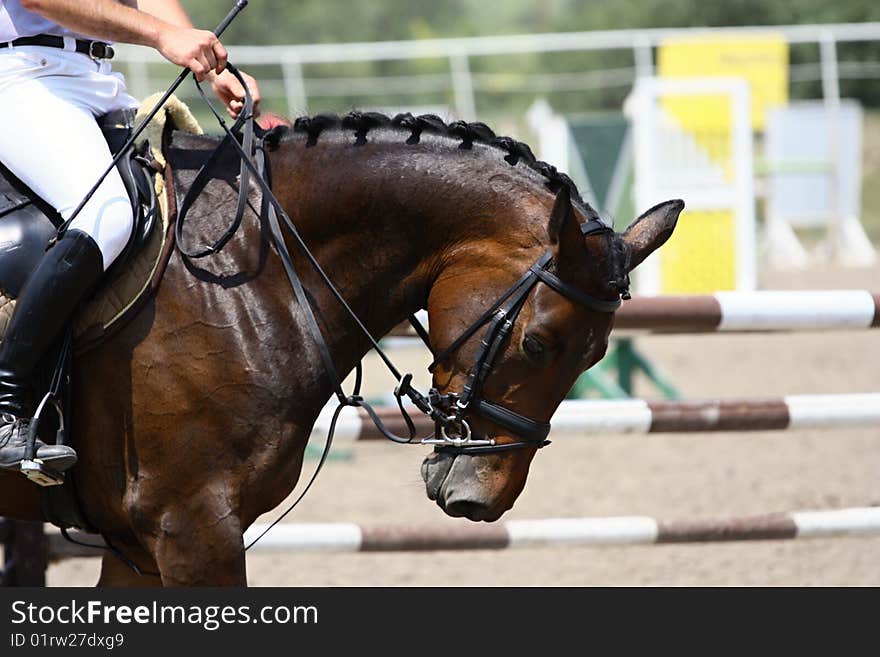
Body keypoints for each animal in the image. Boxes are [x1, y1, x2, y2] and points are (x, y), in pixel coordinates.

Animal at [0, 109, 680, 584]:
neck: (250, 270)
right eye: (538, 344)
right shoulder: (191, 525)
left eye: (594, 358)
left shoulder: (138, 543)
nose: (483, 497)